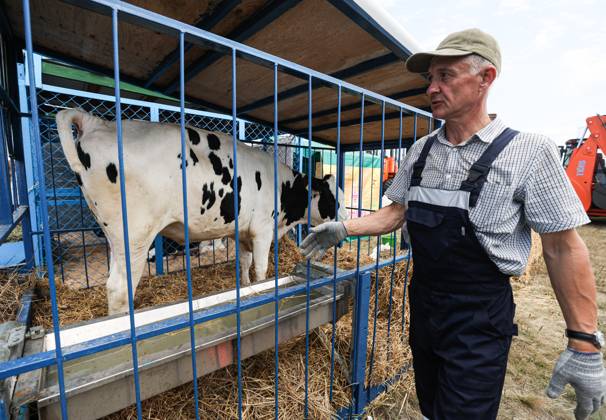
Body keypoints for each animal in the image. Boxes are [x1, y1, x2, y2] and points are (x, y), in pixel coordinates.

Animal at [58, 110, 350, 314]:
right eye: (333, 200)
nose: (347, 219)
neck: (282, 187)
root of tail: (98, 124)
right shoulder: (262, 230)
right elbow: (261, 269)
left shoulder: (242, 233)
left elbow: (244, 265)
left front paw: (246, 289)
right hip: (135, 235)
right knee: (119, 288)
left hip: (114, 236)